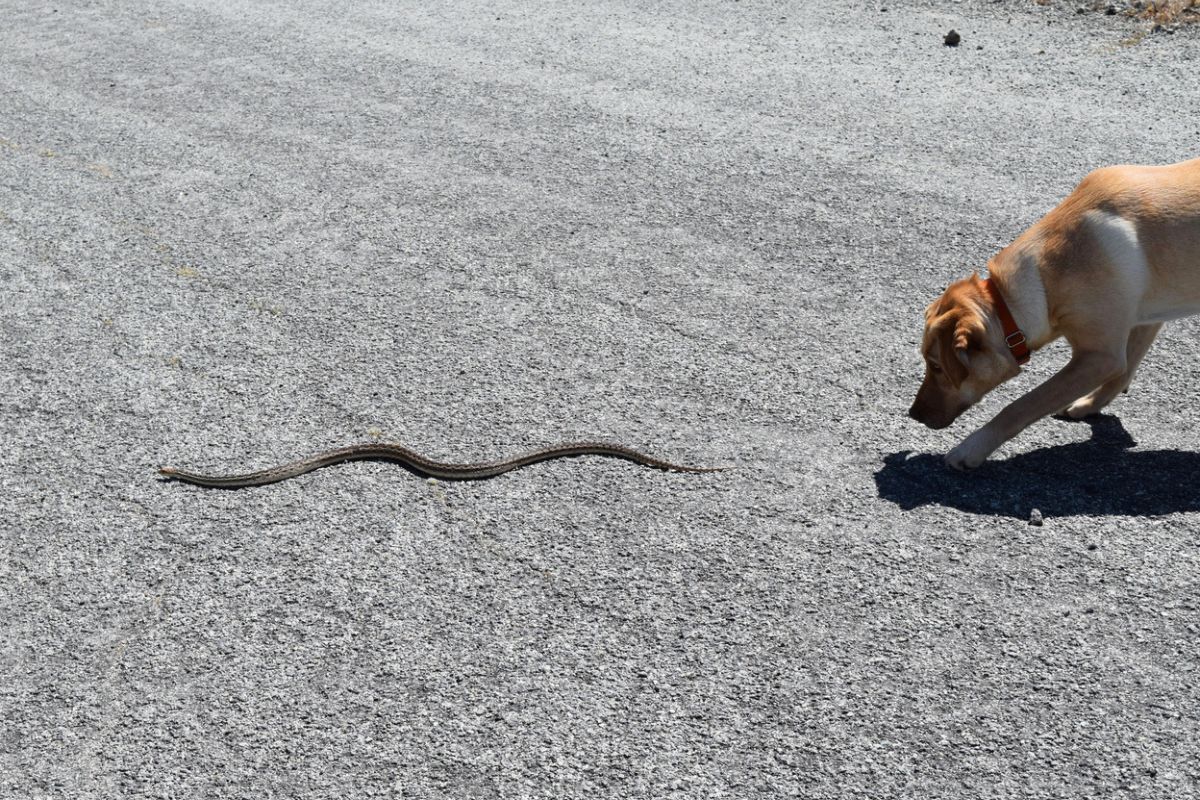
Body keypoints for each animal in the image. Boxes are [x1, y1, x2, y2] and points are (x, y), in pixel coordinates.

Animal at [907, 155, 1200, 470]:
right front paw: (1091, 404)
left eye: (936, 366)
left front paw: (972, 447)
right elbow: (1125, 370)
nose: (913, 414)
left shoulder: (1099, 357)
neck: (1046, 277)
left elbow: (1022, 405)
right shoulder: (1145, 319)